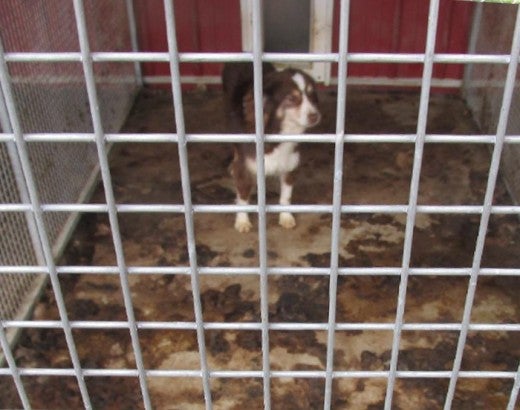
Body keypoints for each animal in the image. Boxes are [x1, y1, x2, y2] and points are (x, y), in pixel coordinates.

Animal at [222, 62, 320, 232]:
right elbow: (243, 196)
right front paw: (242, 221)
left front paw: (286, 217)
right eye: (291, 98)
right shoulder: (245, 168)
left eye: (311, 96)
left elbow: (286, 196)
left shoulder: (290, 165)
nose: (315, 116)